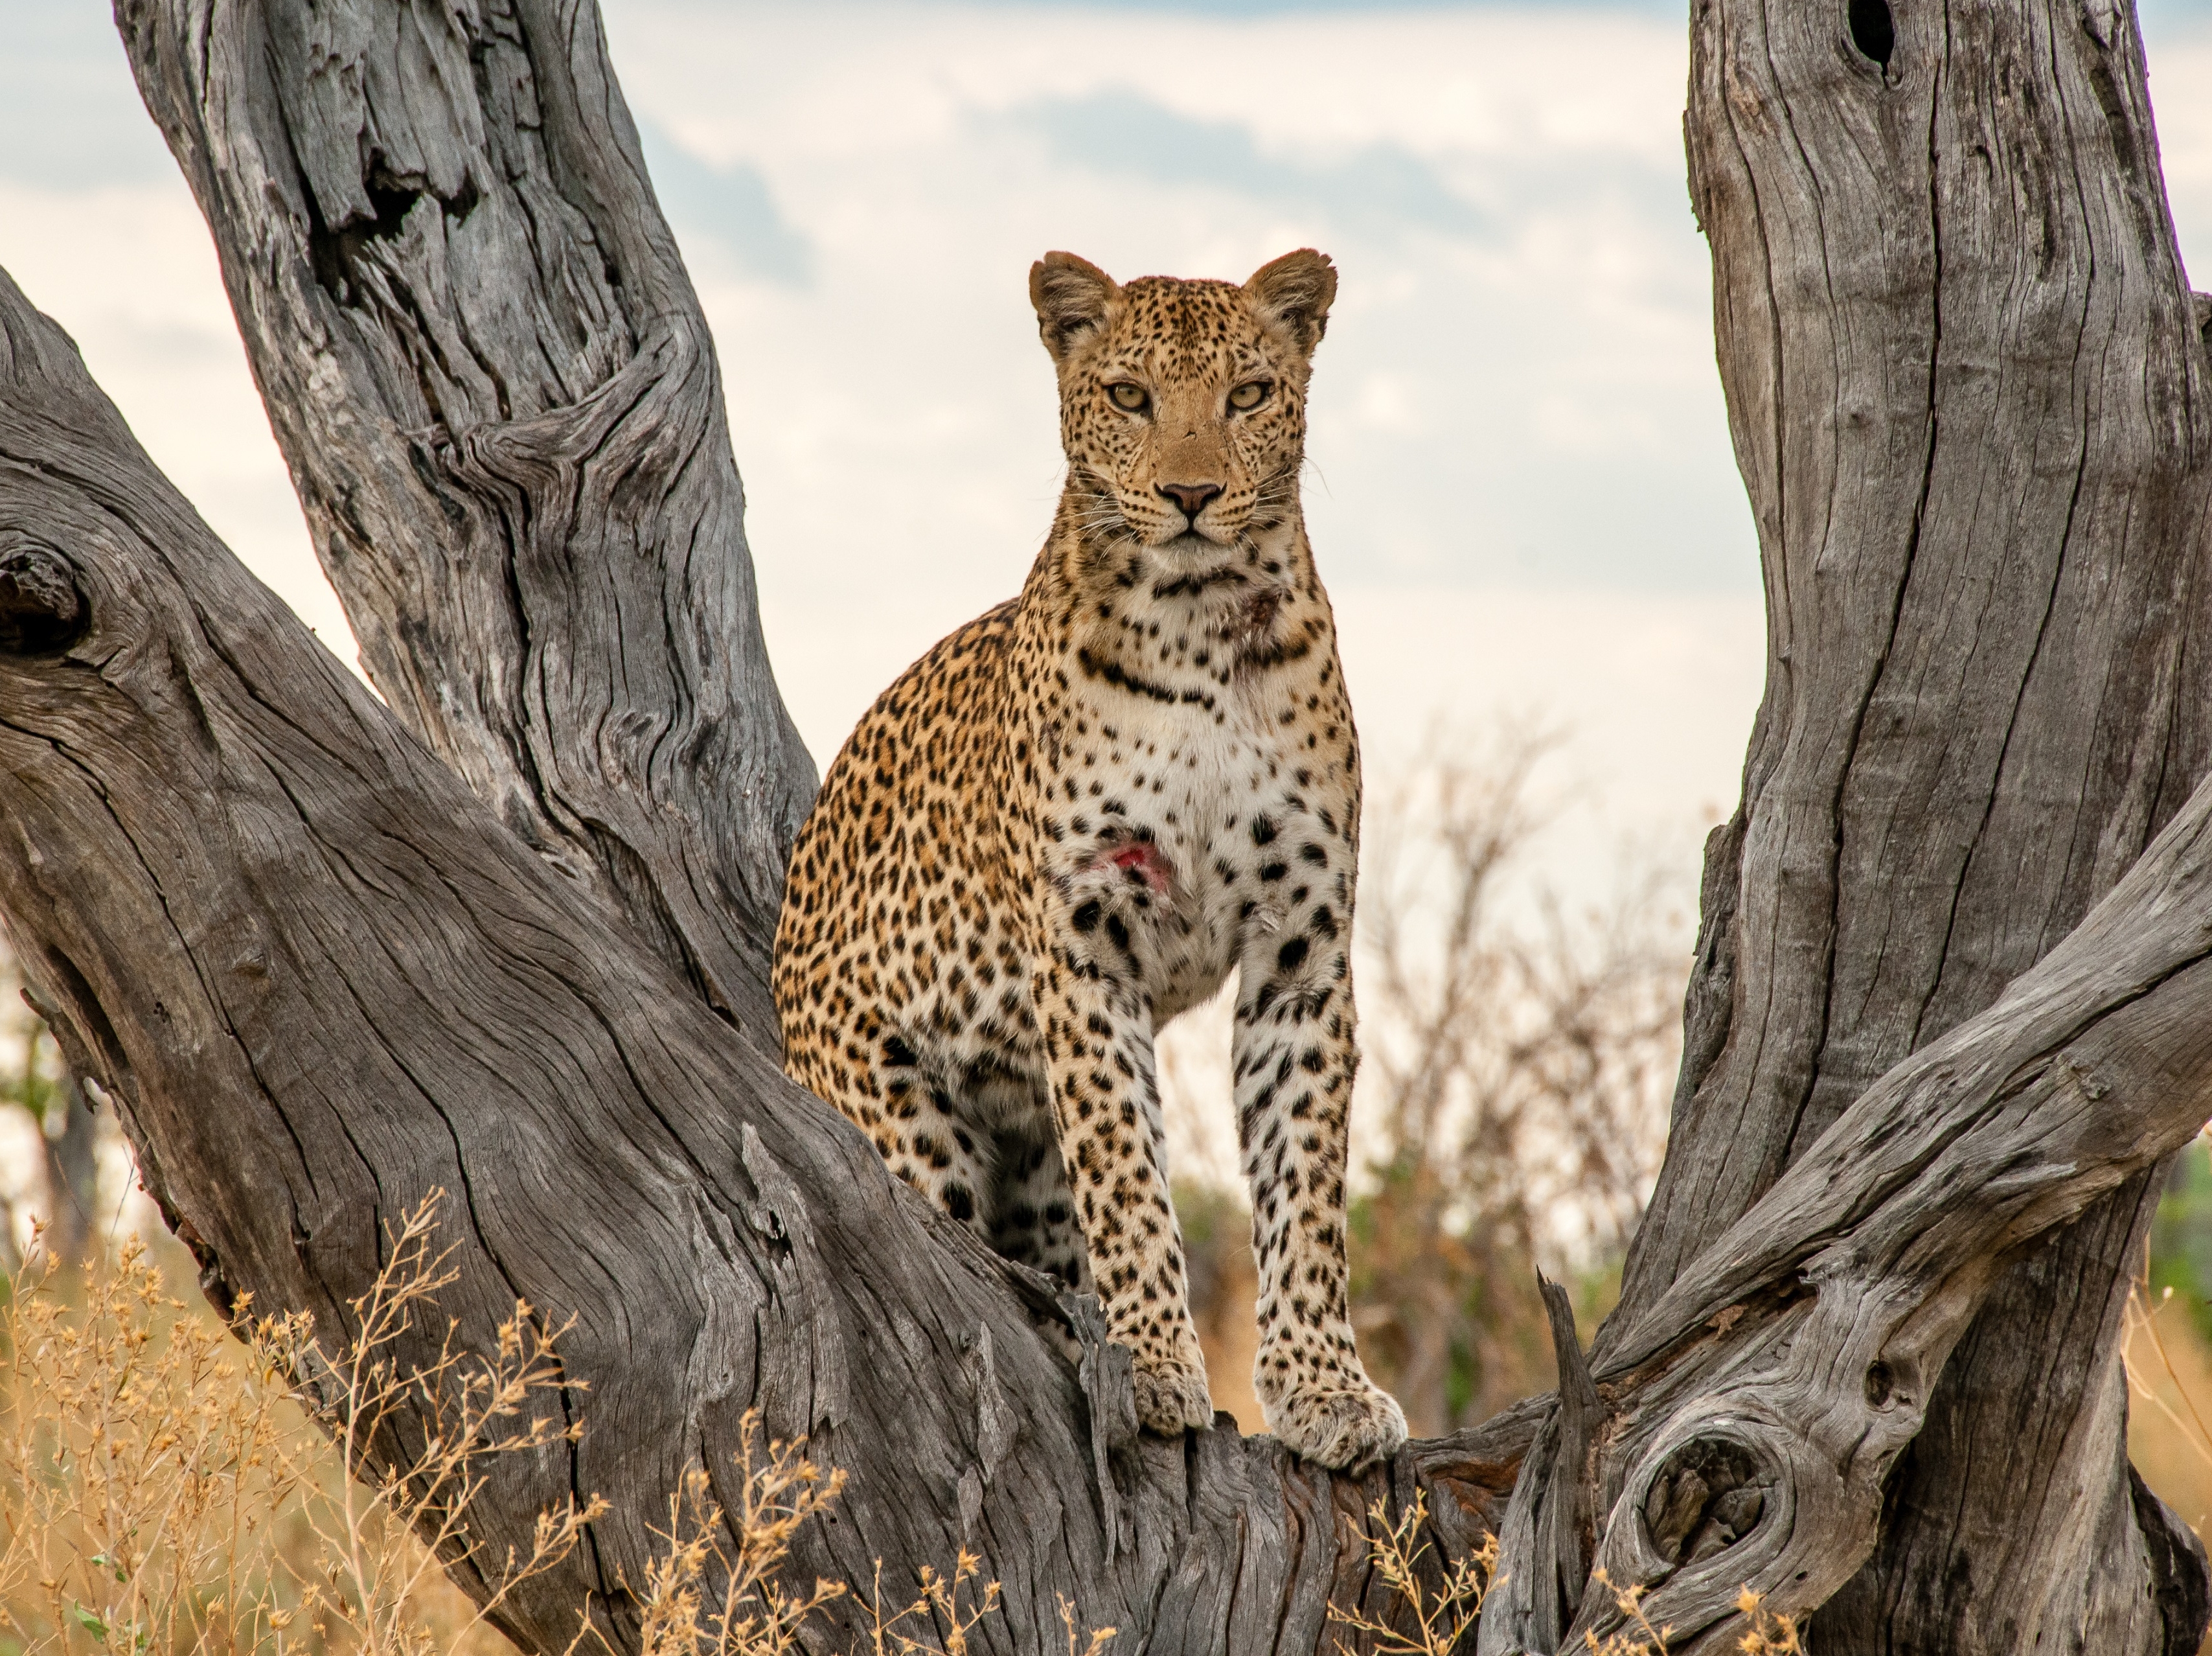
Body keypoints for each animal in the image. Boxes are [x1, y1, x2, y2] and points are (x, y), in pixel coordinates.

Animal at [772, 248, 1407, 1471]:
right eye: (1127, 395)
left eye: (1248, 395)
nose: (1193, 495)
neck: (1199, 626)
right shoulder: (1086, 942)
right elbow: (1127, 1173)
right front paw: (1156, 1367)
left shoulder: (1301, 952)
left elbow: (1305, 1188)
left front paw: (1324, 1392)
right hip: (897, 1115)